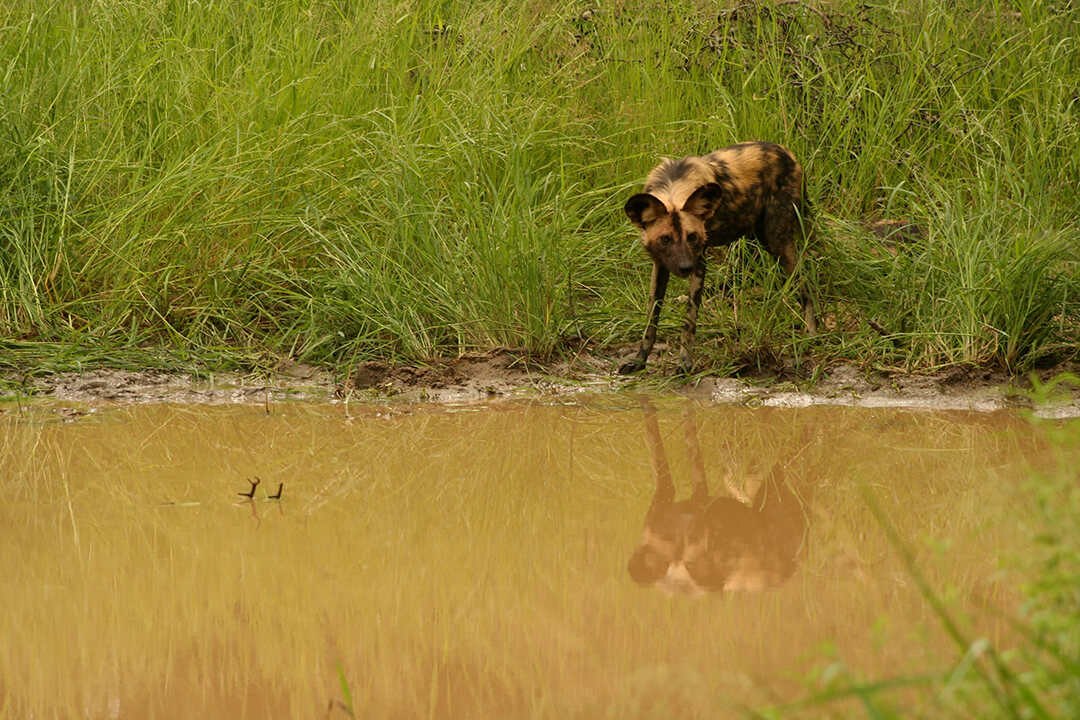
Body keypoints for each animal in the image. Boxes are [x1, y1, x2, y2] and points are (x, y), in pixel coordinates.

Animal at [622, 142, 812, 377]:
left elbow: (689, 321)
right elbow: (651, 319)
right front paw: (639, 360)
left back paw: (811, 337)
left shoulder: (699, 263)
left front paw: (685, 363)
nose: (685, 267)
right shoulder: (660, 266)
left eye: (692, 237)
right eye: (665, 239)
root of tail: (788, 154)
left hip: (777, 241)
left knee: (805, 283)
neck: (673, 189)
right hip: (760, 240)